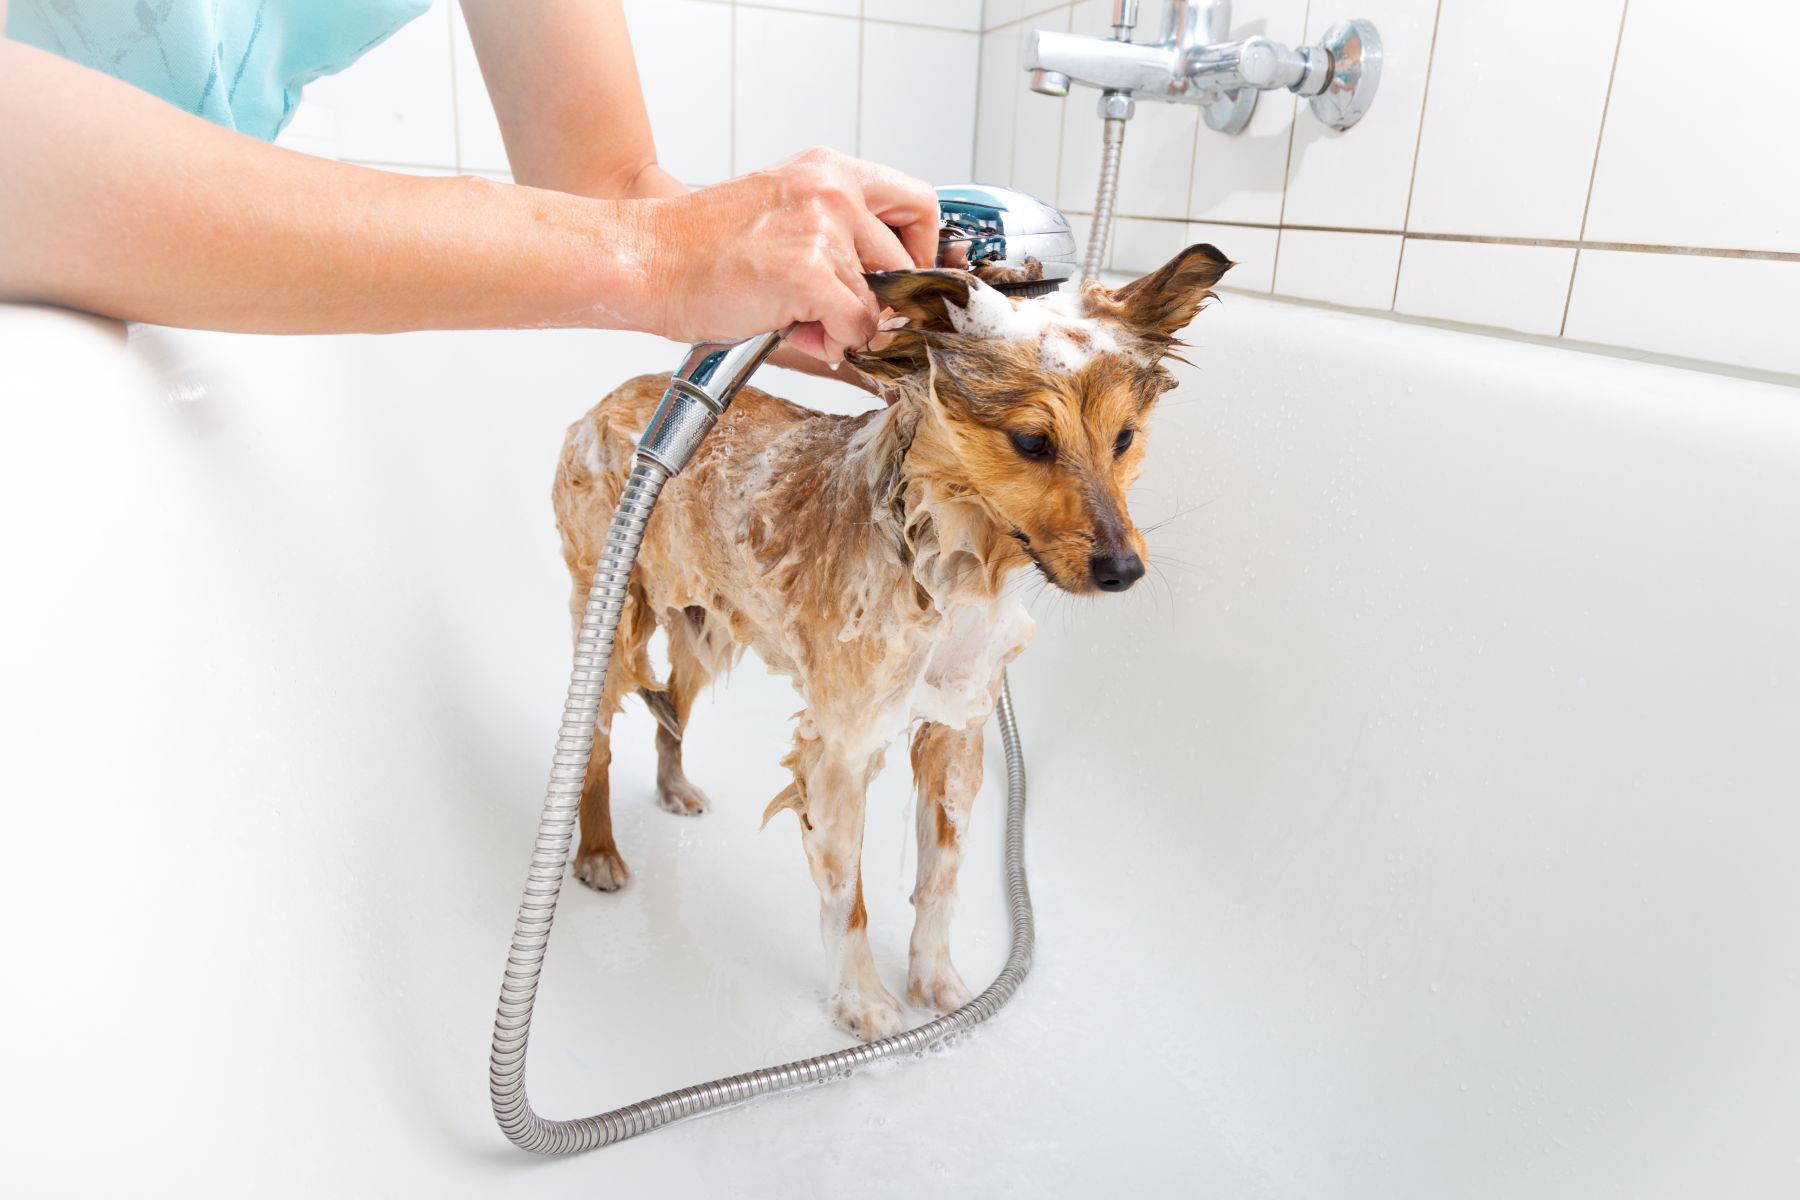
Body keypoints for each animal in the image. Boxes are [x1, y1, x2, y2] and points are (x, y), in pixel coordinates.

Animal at [554, 246, 1231, 1043]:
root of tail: (625, 393)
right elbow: (847, 900)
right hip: (611, 614)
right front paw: (865, 1005)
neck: (951, 563)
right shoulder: (842, 748)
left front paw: (937, 987)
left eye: (1125, 438)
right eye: (1033, 441)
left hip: (704, 626)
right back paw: (599, 854)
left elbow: (942, 877)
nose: (1123, 571)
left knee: (671, 707)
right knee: (595, 746)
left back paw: (675, 788)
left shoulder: (957, 730)